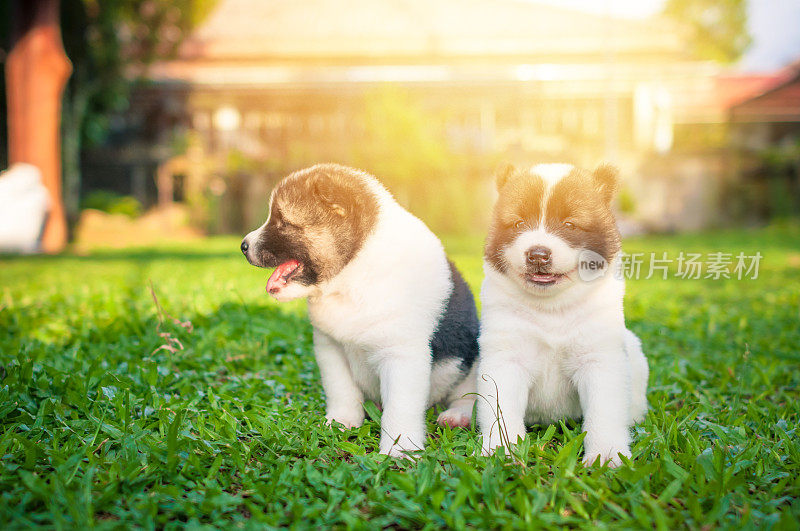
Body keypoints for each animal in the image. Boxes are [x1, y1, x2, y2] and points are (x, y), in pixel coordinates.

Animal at [241, 163, 478, 458]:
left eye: (282, 221)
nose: (243, 246)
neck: (351, 276)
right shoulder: (330, 348)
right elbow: (341, 390)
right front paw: (341, 421)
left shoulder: (401, 357)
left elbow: (400, 407)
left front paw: (399, 449)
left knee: (468, 394)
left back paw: (457, 416)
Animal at [478, 161, 648, 466]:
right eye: (518, 223)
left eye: (570, 224)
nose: (537, 254)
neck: (552, 309)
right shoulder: (506, 359)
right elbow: (500, 408)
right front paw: (500, 450)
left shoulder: (599, 359)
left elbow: (604, 412)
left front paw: (606, 455)